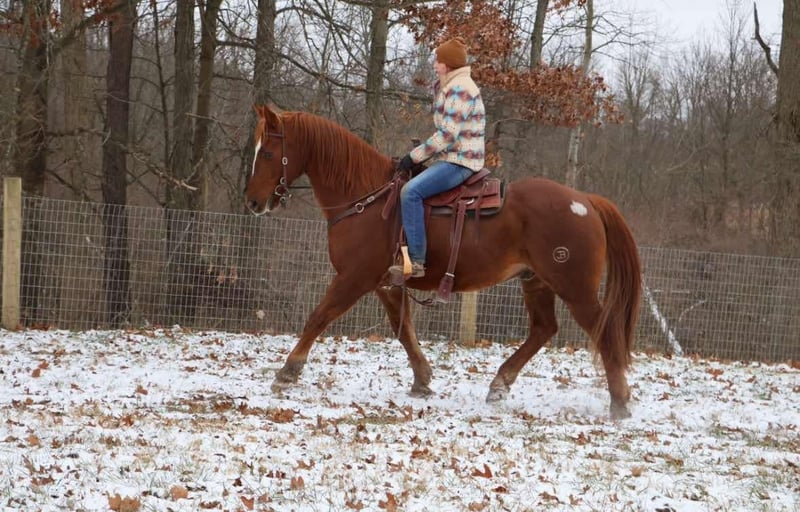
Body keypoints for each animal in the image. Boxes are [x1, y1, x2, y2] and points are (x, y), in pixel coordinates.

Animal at [244, 104, 642, 419]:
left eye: (268, 153)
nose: (251, 202)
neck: (366, 198)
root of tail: (585, 201)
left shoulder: (353, 278)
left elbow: (319, 316)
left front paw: (288, 371)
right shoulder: (386, 284)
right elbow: (403, 330)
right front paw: (422, 380)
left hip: (575, 288)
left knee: (603, 330)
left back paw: (619, 402)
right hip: (536, 281)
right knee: (544, 328)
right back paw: (500, 384)